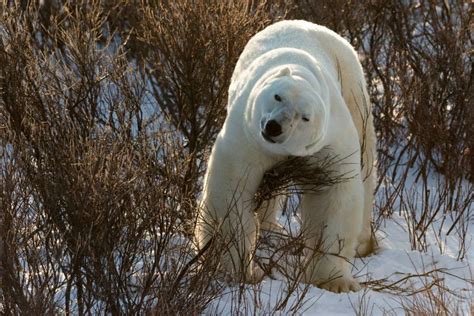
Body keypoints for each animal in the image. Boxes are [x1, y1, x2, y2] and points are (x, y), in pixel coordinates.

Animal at [194, 19, 376, 292]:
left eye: (305, 117)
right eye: (278, 96)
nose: (274, 127)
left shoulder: (330, 145)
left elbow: (334, 199)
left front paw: (337, 282)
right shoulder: (247, 137)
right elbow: (231, 192)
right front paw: (236, 270)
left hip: (353, 87)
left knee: (366, 162)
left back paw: (364, 242)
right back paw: (270, 225)